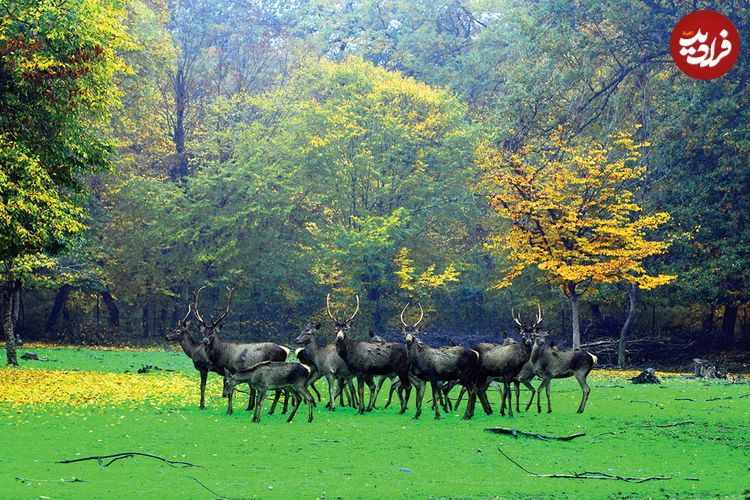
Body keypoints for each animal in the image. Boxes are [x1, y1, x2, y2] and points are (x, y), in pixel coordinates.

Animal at [195, 286, 292, 414]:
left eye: (213, 333)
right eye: (203, 332)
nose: (205, 341)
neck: (221, 356)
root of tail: (285, 351)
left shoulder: (232, 369)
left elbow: (231, 391)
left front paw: (229, 410)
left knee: (279, 389)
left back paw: (272, 411)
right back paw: (282, 410)